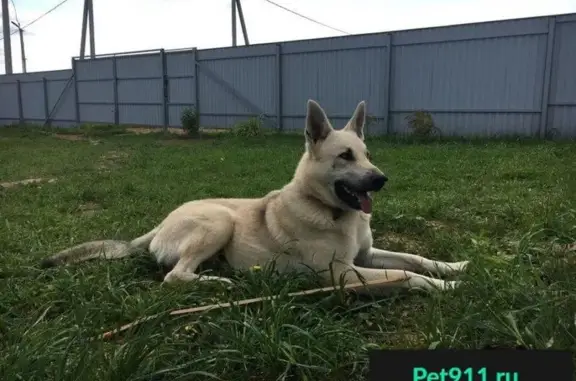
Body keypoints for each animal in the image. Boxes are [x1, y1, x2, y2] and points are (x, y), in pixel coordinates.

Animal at [40, 100, 470, 290]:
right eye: (345, 156)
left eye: (367, 155)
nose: (382, 180)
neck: (330, 211)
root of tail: (159, 225)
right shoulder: (344, 273)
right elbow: (405, 274)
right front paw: (447, 288)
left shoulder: (363, 256)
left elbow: (414, 259)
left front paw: (453, 268)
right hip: (219, 220)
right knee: (174, 277)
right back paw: (217, 283)